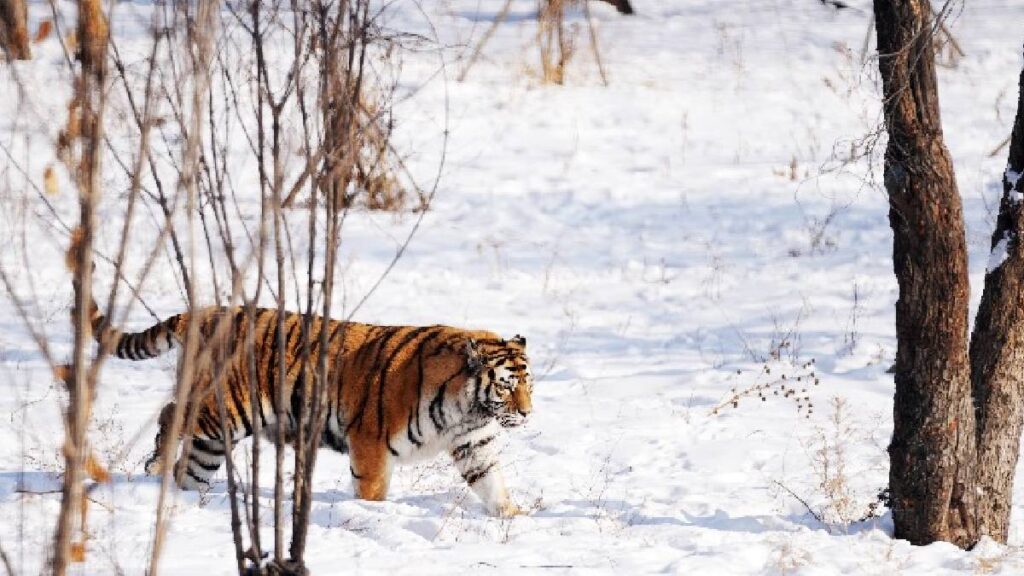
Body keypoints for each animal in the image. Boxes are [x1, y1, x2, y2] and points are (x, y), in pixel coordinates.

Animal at [84, 299, 534, 517]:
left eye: (529, 384)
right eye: (507, 385)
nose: (528, 413)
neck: (468, 408)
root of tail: (208, 311)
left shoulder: (475, 445)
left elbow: (493, 484)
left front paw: (514, 517)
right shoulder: (370, 443)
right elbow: (372, 492)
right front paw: (371, 515)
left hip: (214, 438)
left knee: (190, 465)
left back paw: (184, 495)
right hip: (225, 409)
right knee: (170, 413)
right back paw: (155, 467)